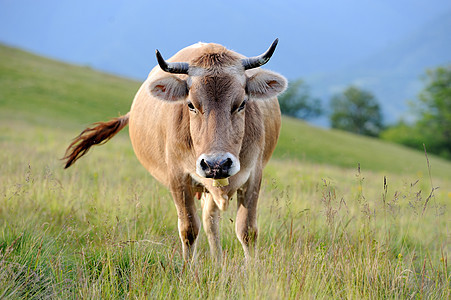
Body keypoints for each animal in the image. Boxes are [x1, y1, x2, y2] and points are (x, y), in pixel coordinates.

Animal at [63, 38, 288, 262]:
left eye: (241, 104)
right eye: (191, 105)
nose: (217, 164)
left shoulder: (254, 176)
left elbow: (247, 231)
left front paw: (252, 270)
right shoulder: (178, 178)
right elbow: (189, 230)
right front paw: (188, 269)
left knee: (211, 220)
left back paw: (218, 263)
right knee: (209, 221)